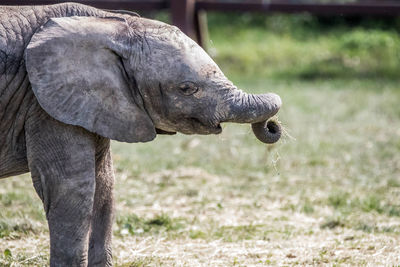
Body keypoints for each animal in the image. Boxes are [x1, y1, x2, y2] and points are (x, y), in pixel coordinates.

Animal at [0, 2, 282, 267]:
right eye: (187, 88)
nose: (272, 126)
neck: (107, 22)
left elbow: (104, 186)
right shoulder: (43, 103)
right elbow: (72, 187)